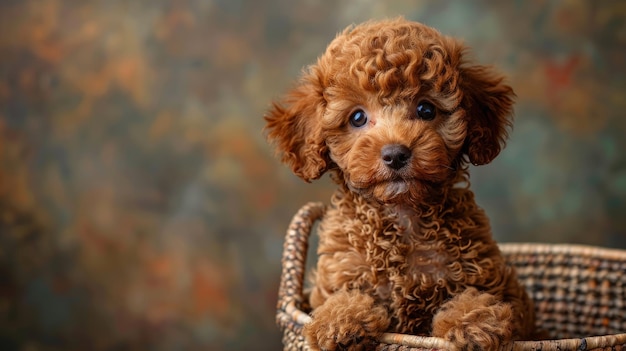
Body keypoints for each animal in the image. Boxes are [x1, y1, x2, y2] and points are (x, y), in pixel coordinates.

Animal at [264, 18, 532, 351]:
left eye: (426, 110)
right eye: (357, 117)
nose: (395, 154)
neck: (401, 213)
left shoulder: (492, 278)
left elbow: (481, 299)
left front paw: (475, 321)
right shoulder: (340, 271)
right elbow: (341, 297)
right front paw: (340, 320)